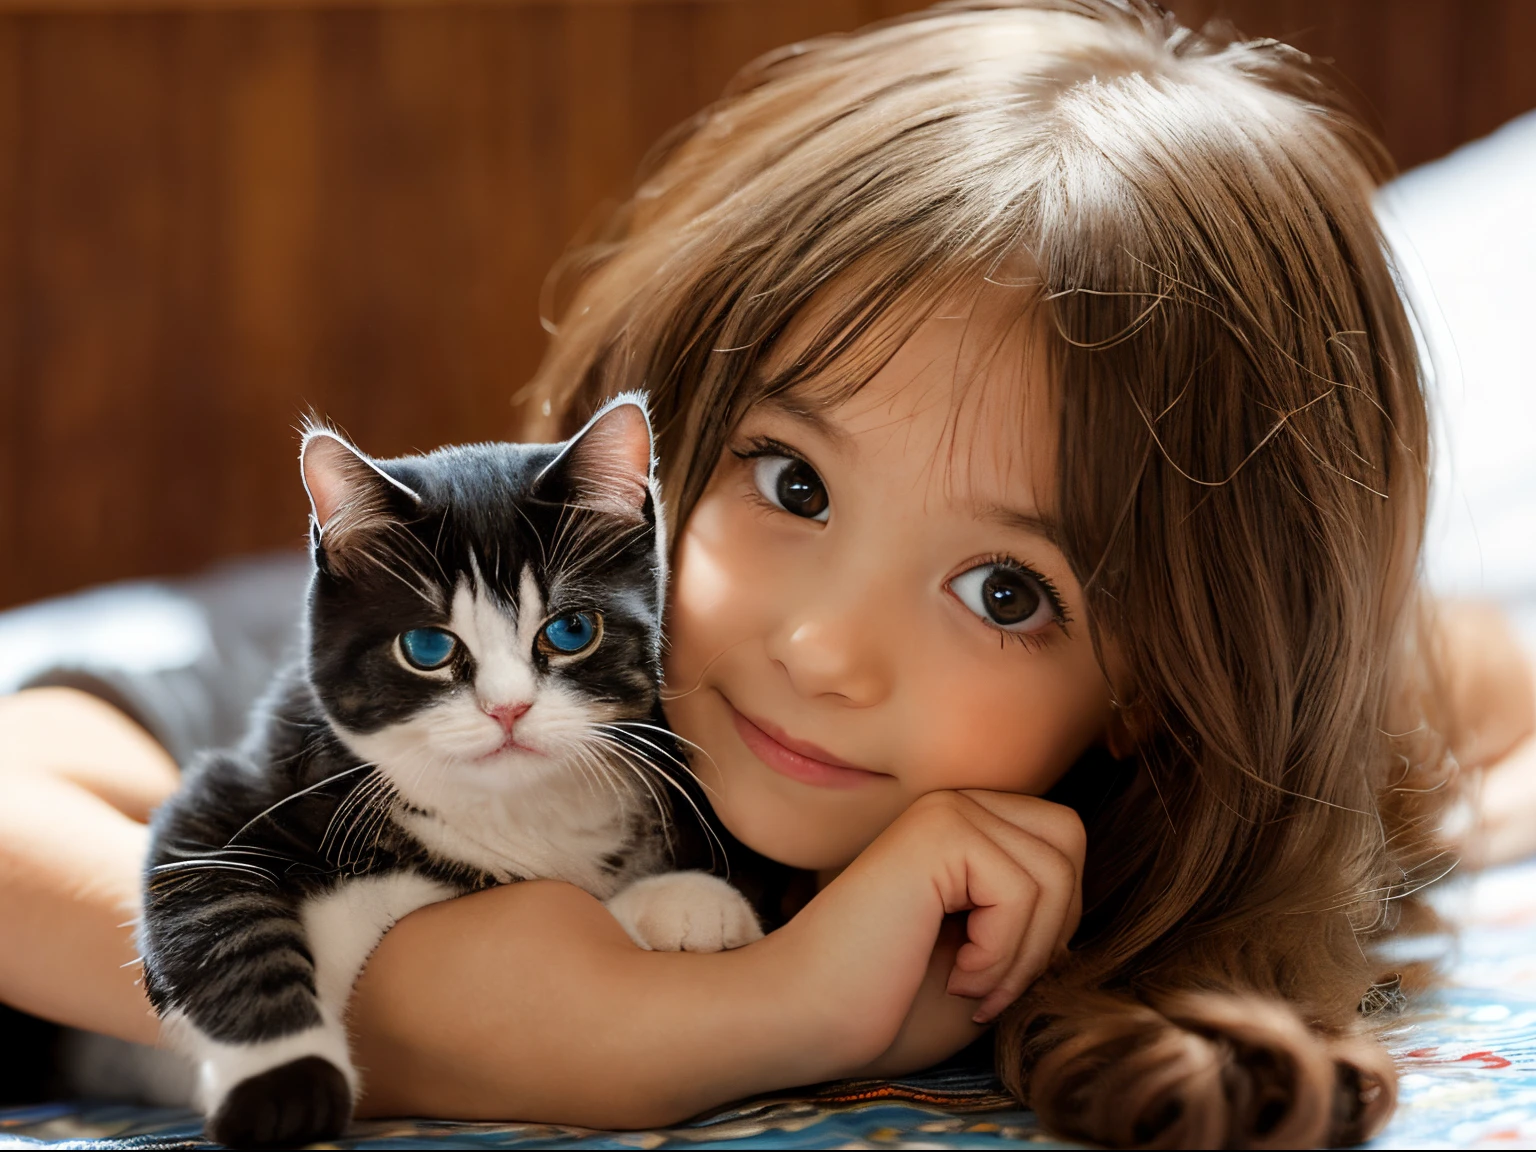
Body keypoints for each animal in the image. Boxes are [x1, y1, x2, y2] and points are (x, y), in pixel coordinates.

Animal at [142, 396, 761, 1148]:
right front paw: (286, 1088)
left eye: (571, 631)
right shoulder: (237, 789)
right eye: (427, 647)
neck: (499, 805)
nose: (508, 709)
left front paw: (687, 899)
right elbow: (218, 910)